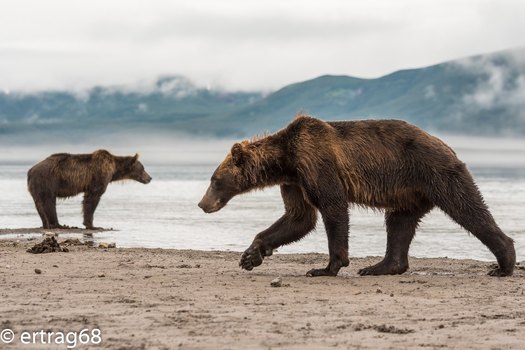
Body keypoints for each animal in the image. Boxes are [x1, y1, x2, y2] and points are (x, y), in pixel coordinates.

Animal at [199, 116, 512, 278]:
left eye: (214, 180)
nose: (202, 204)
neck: (285, 159)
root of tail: (449, 146)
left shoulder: (316, 163)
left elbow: (333, 207)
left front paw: (326, 267)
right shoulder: (295, 181)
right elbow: (298, 218)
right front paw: (250, 255)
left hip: (434, 172)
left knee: (467, 208)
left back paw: (504, 262)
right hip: (408, 192)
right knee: (399, 224)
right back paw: (381, 266)